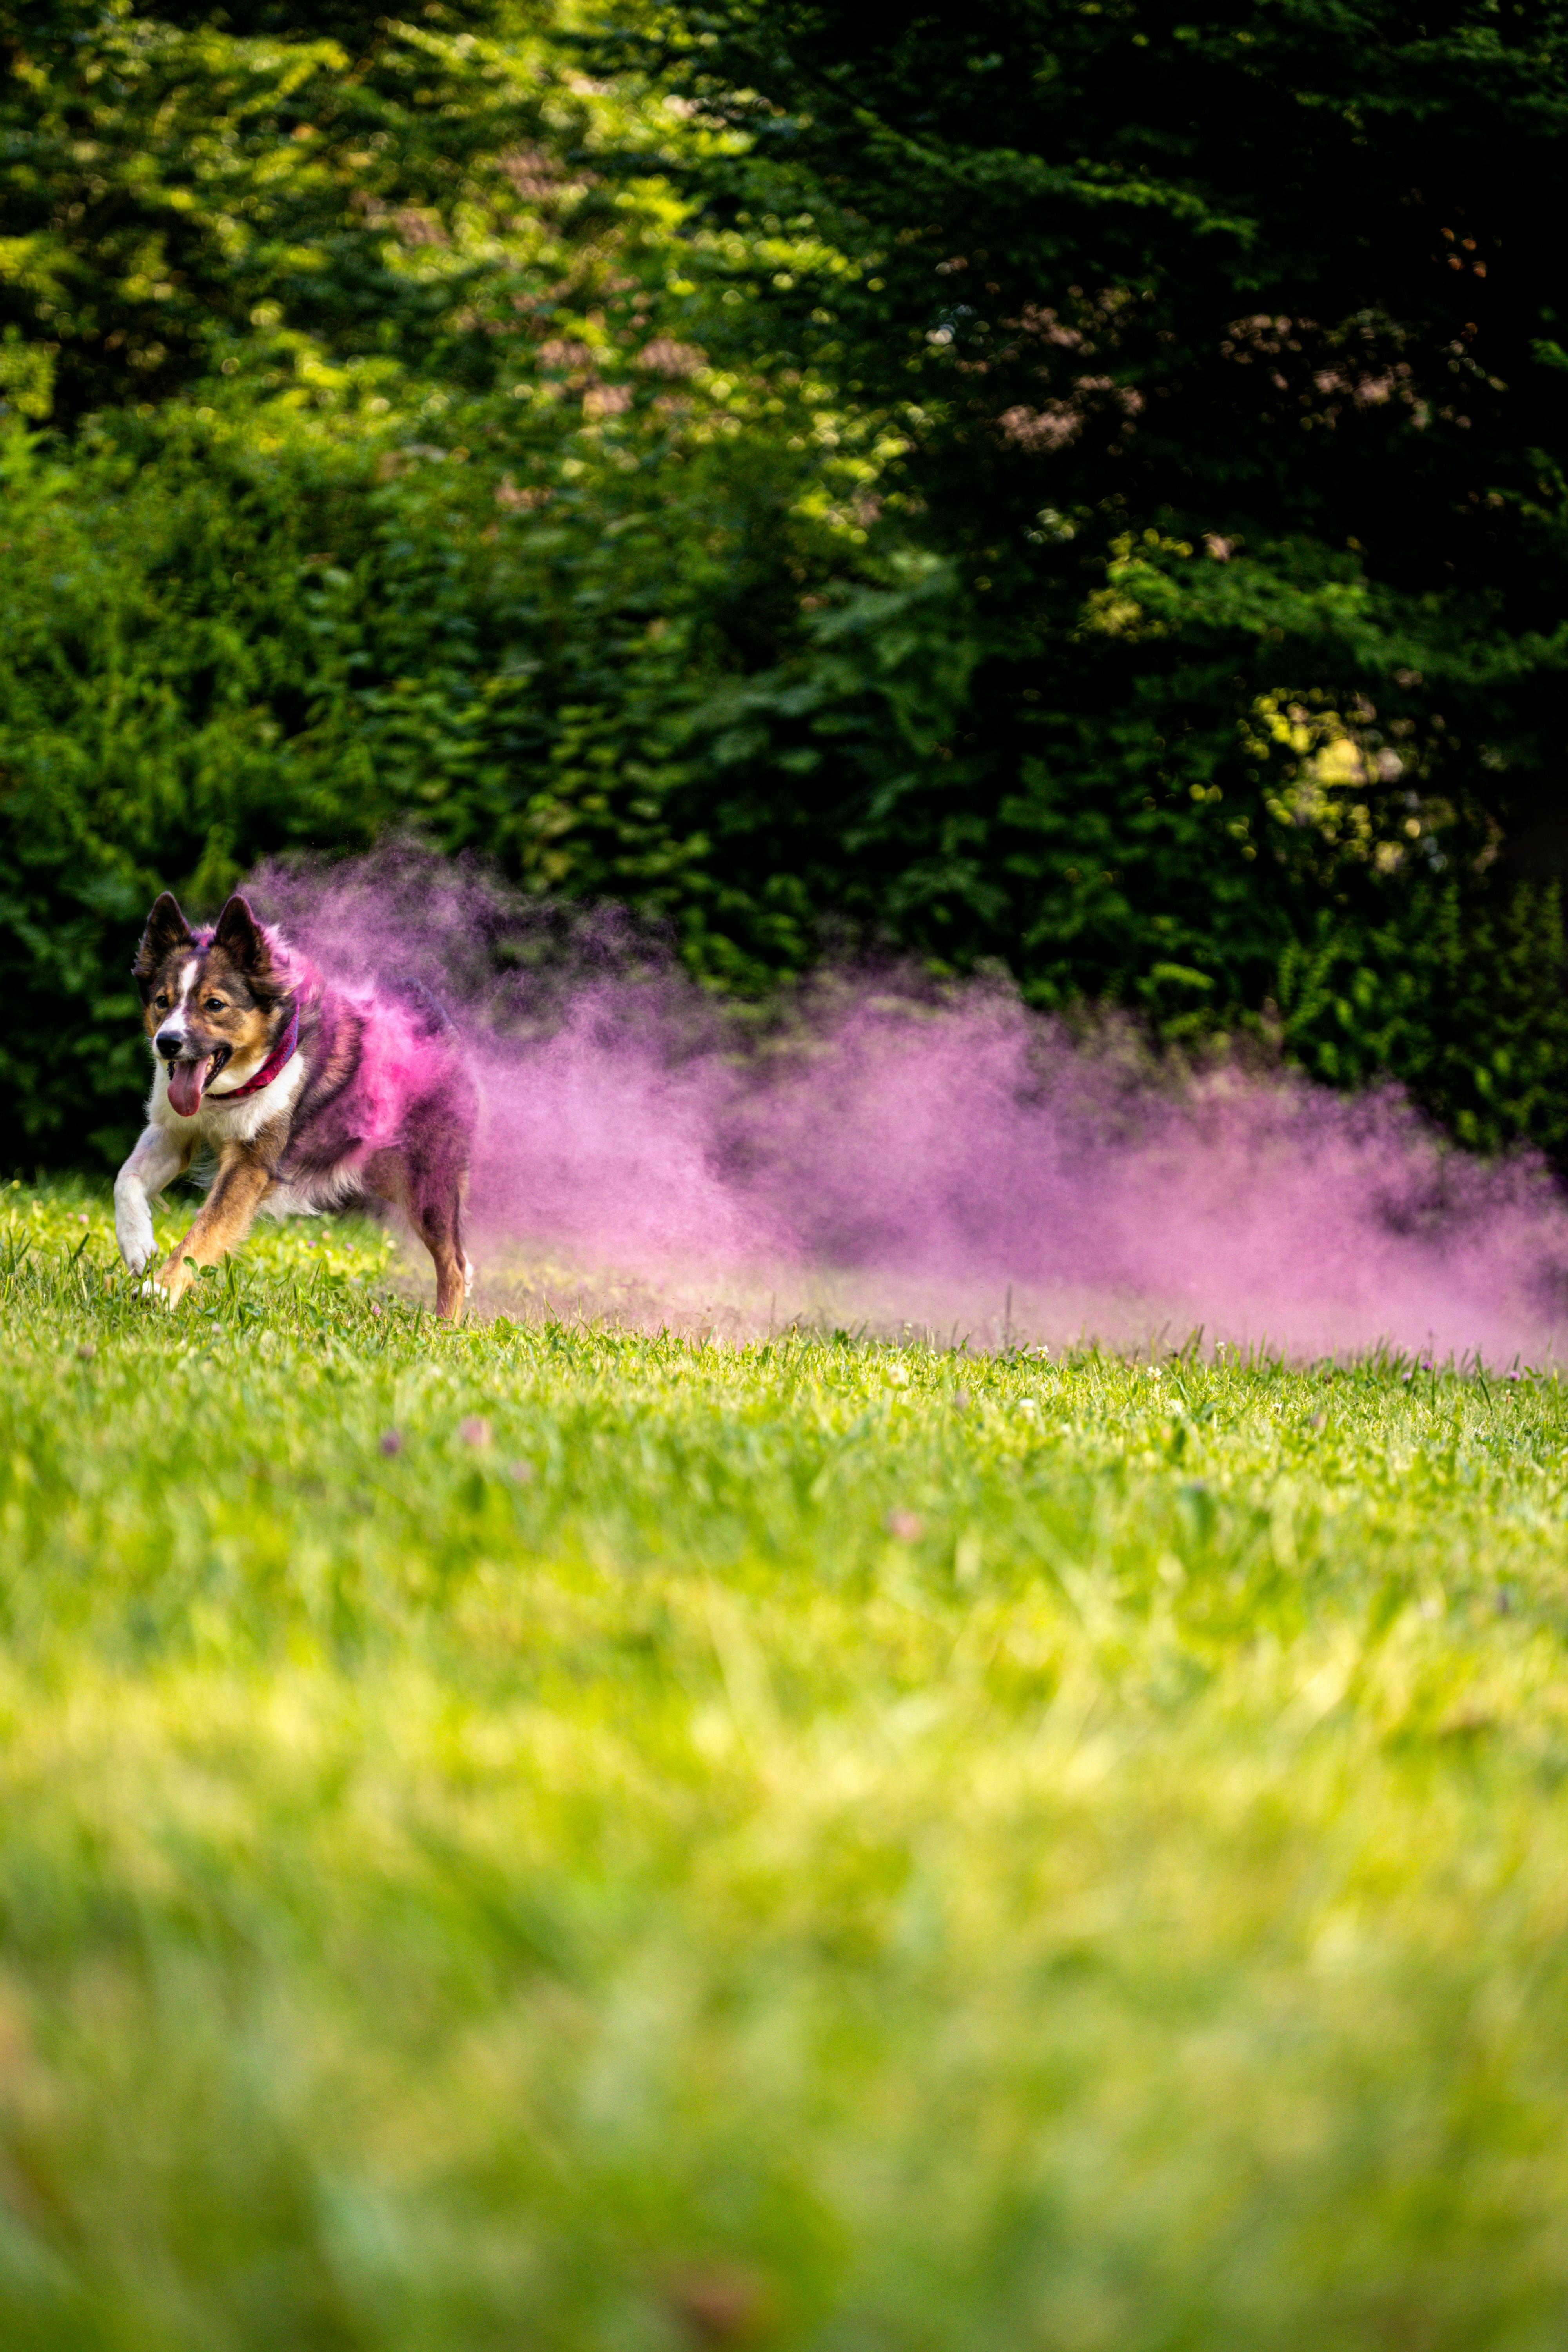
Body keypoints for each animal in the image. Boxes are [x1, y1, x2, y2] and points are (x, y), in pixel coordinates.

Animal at [114, 884, 475, 1317]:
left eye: (214, 1004)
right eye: (162, 1001)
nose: (167, 1043)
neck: (235, 1085)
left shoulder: (252, 1165)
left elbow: (204, 1231)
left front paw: (161, 1289)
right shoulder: (173, 1132)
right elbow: (126, 1180)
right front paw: (138, 1247)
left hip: (427, 1180)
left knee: (454, 1262)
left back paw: (444, 1325)